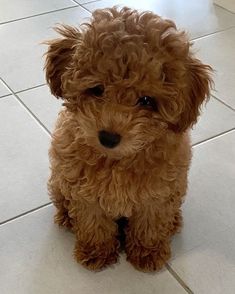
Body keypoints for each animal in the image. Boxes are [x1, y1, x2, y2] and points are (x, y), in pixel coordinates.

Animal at [44, 6, 213, 272]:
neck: (117, 161)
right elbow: (93, 222)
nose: (108, 137)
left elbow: (150, 223)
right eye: (97, 89)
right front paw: (96, 251)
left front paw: (148, 252)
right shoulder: (83, 191)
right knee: (62, 200)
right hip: (59, 180)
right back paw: (66, 218)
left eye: (146, 100)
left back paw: (174, 221)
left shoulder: (158, 195)